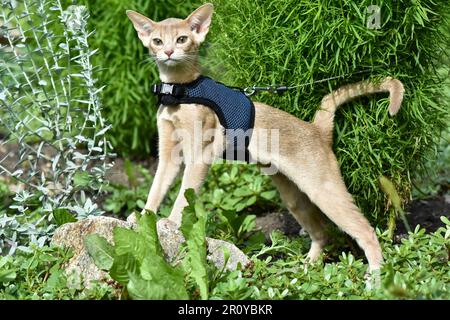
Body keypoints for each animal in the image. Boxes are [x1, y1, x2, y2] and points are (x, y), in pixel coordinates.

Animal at [125, 3, 404, 272]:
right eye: (157, 41)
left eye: (182, 39)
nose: (168, 52)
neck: (179, 92)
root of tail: (316, 129)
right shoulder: (169, 156)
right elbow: (156, 189)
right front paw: (144, 216)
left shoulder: (199, 156)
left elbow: (184, 195)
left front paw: (170, 222)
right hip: (294, 198)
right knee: (322, 233)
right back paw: (307, 266)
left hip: (324, 191)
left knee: (366, 231)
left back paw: (376, 276)